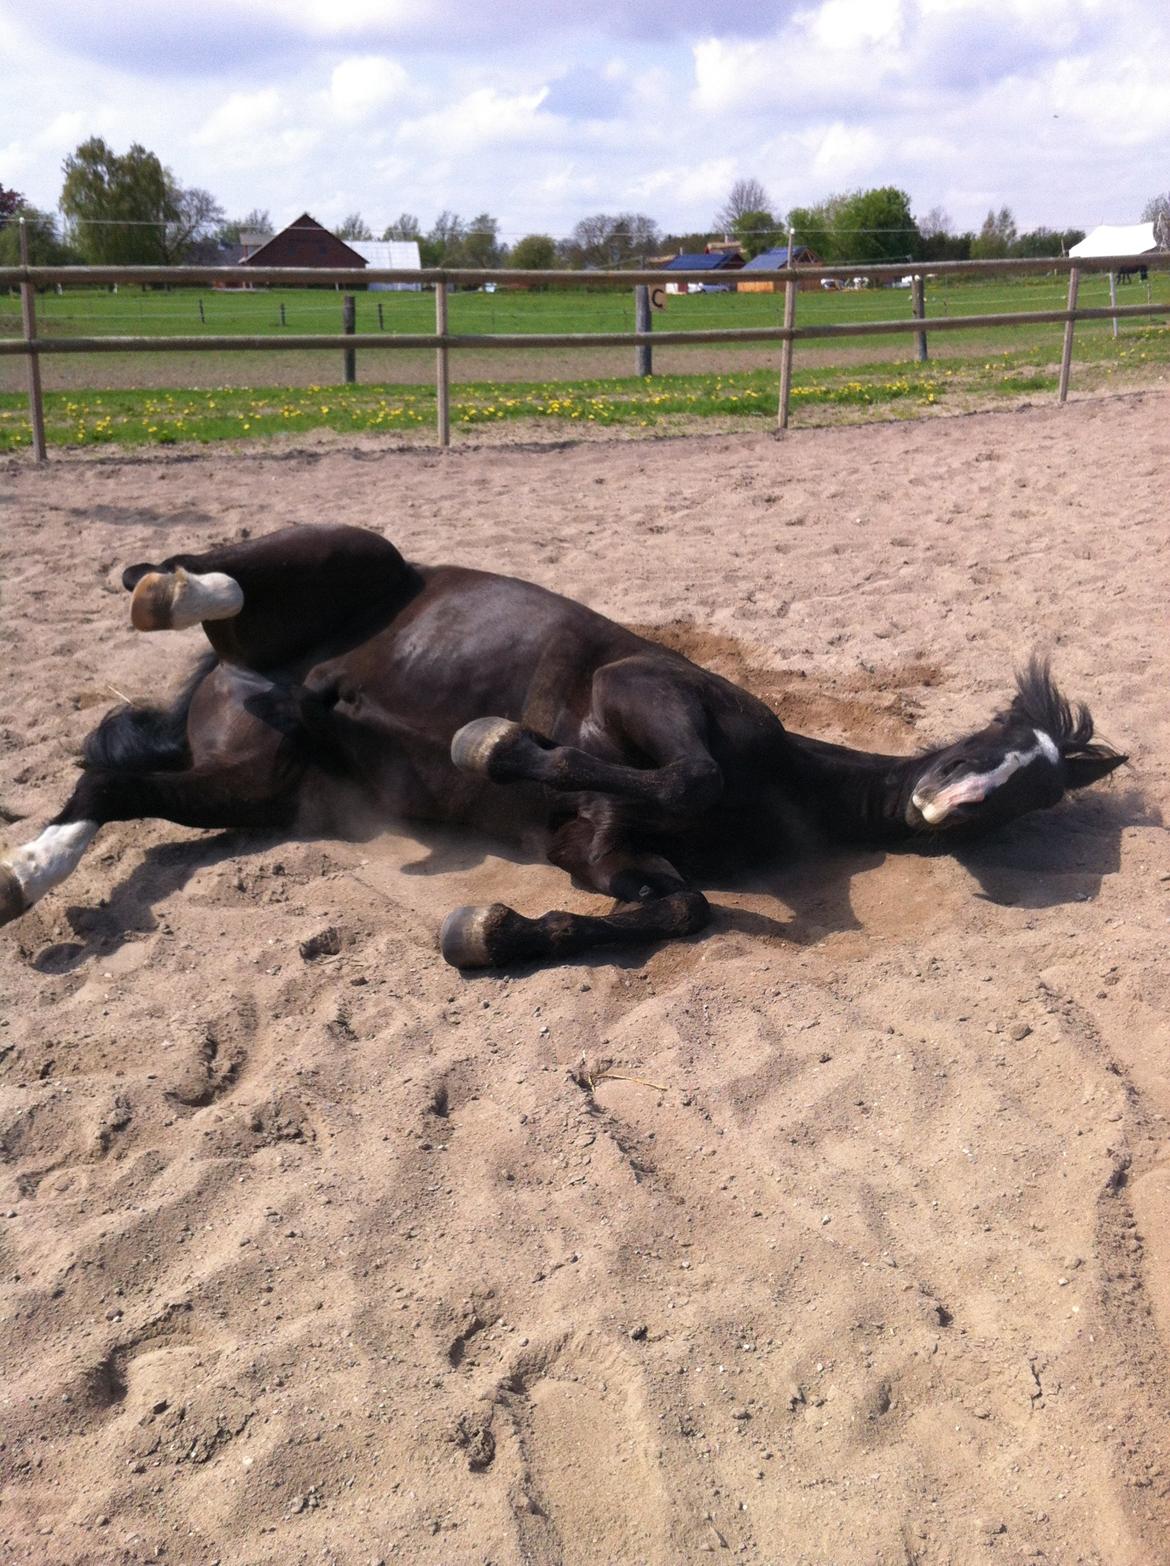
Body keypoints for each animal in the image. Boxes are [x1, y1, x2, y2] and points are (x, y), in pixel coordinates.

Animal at [2, 526, 1133, 964]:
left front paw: (492, 934)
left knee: (107, 784)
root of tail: (230, 688)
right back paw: (172, 593)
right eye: (995, 736)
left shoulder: (596, 849)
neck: (783, 778)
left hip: (250, 787)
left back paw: (26, 874)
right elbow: (686, 773)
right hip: (335, 568)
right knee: (213, 582)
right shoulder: (640, 691)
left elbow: (677, 908)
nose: (948, 806)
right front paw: (491, 745)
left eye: (1034, 795)